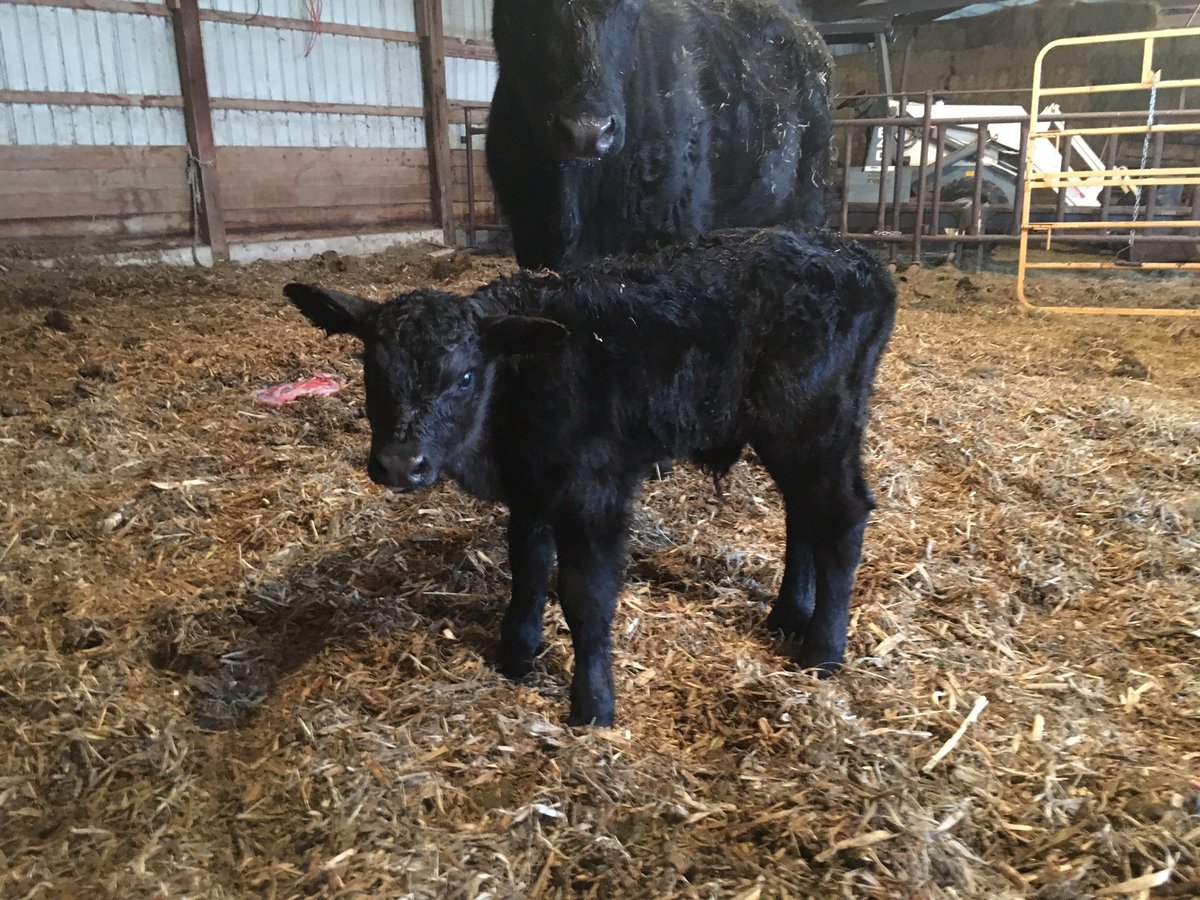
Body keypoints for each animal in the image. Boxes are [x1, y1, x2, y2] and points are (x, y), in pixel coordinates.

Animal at [284, 227, 895, 726]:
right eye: (372, 370)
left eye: (465, 377)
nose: (400, 463)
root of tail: (859, 255)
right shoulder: (532, 492)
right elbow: (528, 569)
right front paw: (516, 655)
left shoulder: (594, 492)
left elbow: (585, 595)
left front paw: (593, 705)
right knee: (803, 512)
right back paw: (787, 615)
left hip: (813, 419)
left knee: (841, 515)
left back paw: (822, 651)